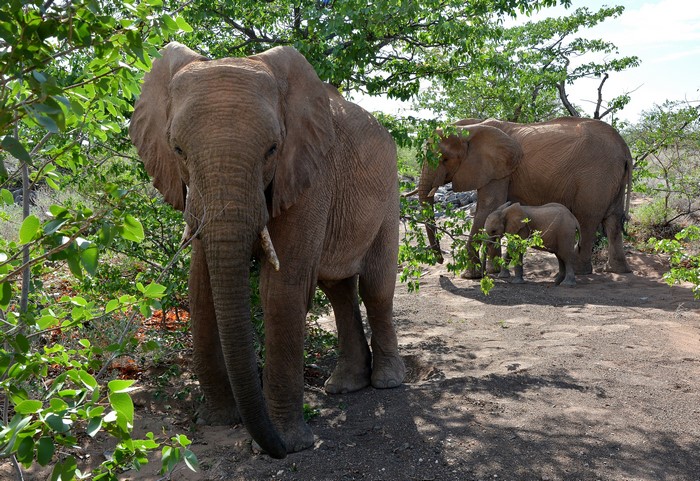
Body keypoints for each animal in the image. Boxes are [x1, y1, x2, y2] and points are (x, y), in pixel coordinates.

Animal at [129, 42, 405, 458]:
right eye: (177, 149)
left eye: (272, 149)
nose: (271, 448)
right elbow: (202, 288)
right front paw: (217, 421)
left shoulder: (310, 173)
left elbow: (280, 290)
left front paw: (289, 444)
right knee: (338, 288)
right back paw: (343, 386)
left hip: (389, 194)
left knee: (375, 286)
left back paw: (387, 382)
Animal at [418, 118, 632, 277]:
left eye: (444, 159)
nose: (440, 261)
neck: (469, 128)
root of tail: (625, 148)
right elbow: (496, 209)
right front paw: (493, 272)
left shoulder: (499, 169)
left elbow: (488, 207)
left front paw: (471, 276)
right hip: (613, 177)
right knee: (613, 220)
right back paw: (617, 270)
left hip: (596, 176)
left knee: (587, 218)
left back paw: (580, 271)